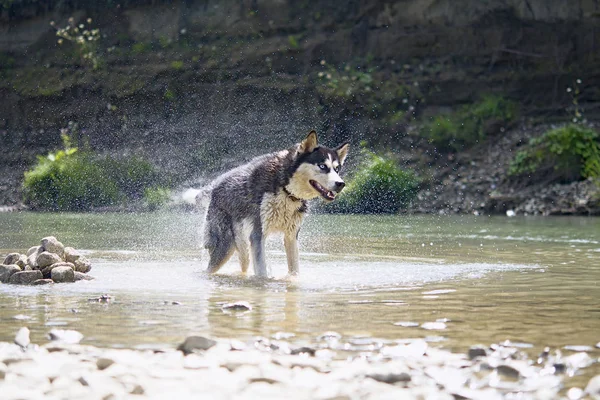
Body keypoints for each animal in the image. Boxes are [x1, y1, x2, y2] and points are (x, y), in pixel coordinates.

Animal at [198, 130, 346, 276]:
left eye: (337, 169)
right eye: (322, 166)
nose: (341, 184)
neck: (286, 190)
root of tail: (215, 185)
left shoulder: (291, 237)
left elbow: (294, 271)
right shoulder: (257, 235)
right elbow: (262, 273)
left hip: (242, 248)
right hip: (226, 248)